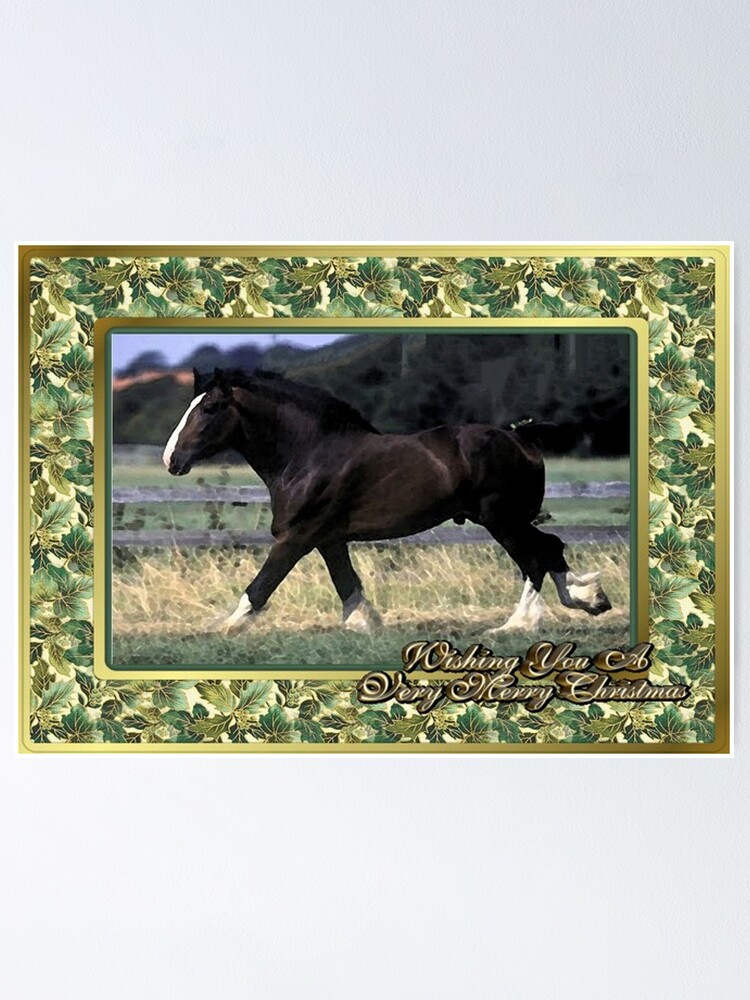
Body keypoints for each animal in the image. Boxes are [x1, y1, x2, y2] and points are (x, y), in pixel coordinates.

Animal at [162, 367, 612, 634]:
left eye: (211, 407)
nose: (171, 459)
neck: (309, 453)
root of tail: (522, 438)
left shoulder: (296, 536)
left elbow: (260, 587)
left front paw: (222, 630)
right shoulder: (328, 538)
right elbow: (347, 585)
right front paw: (365, 625)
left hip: (501, 519)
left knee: (535, 558)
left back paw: (517, 625)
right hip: (509, 519)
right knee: (550, 548)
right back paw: (590, 599)